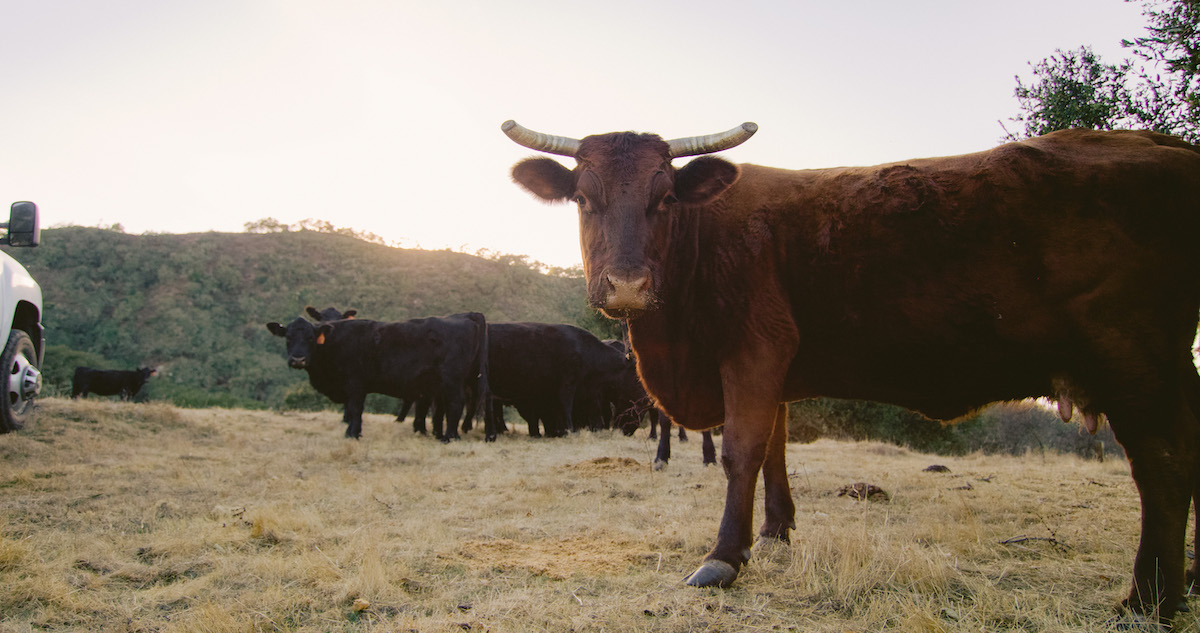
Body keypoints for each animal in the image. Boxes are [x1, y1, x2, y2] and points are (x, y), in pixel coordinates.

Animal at [266, 312, 489, 441]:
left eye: (311, 338)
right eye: (288, 338)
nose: (298, 359)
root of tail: (465, 316)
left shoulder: (355, 384)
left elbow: (355, 409)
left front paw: (352, 434)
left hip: (452, 380)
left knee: (456, 404)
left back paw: (449, 437)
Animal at [503, 119, 1200, 621]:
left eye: (666, 197)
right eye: (582, 198)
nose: (626, 286)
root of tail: (1158, 144)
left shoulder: (755, 351)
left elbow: (742, 451)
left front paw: (725, 557)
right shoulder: (775, 370)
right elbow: (777, 449)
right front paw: (776, 532)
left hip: (1135, 359)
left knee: (1164, 464)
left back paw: (1149, 600)